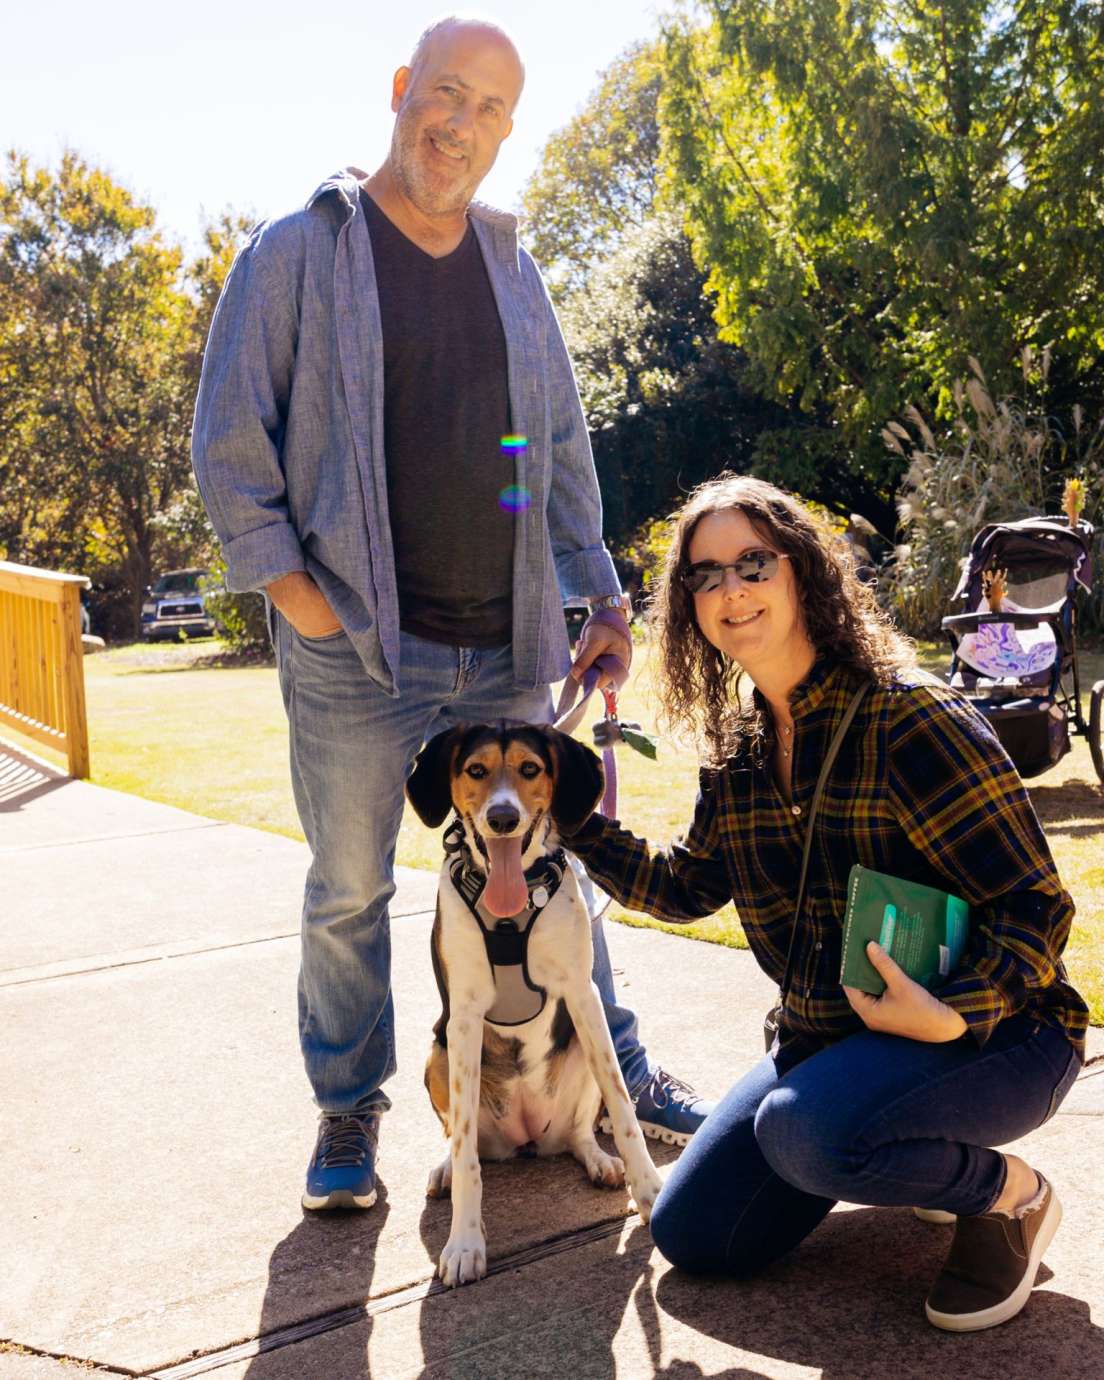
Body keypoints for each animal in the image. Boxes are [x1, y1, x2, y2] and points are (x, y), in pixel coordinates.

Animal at [408, 728, 659, 1286]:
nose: (503, 818)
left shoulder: (584, 995)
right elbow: (466, 1153)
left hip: (583, 1049)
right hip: (437, 1054)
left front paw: (652, 1193)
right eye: (476, 770)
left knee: (578, 1133)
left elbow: (624, 1109)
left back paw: (599, 1160)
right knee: (461, 1139)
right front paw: (465, 1243)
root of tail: (525, 1138)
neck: (510, 911)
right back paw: (443, 1168)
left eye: (529, 769)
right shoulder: (463, 1018)